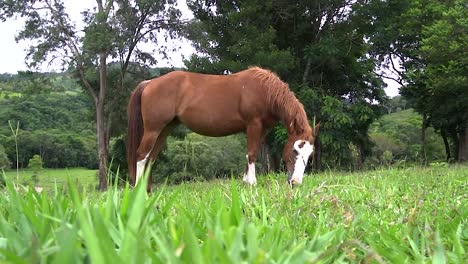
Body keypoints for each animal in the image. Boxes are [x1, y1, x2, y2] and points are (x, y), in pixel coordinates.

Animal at [126, 66, 320, 190]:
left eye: (310, 154)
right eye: (295, 150)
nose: (296, 182)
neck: (265, 91)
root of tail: (149, 83)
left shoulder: (262, 130)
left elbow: (251, 153)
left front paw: (245, 181)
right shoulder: (253, 125)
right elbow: (252, 154)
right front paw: (252, 183)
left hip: (164, 129)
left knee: (151, 158)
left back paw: (147, 190)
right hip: (153, 129)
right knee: (141, 156)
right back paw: (139, 190)